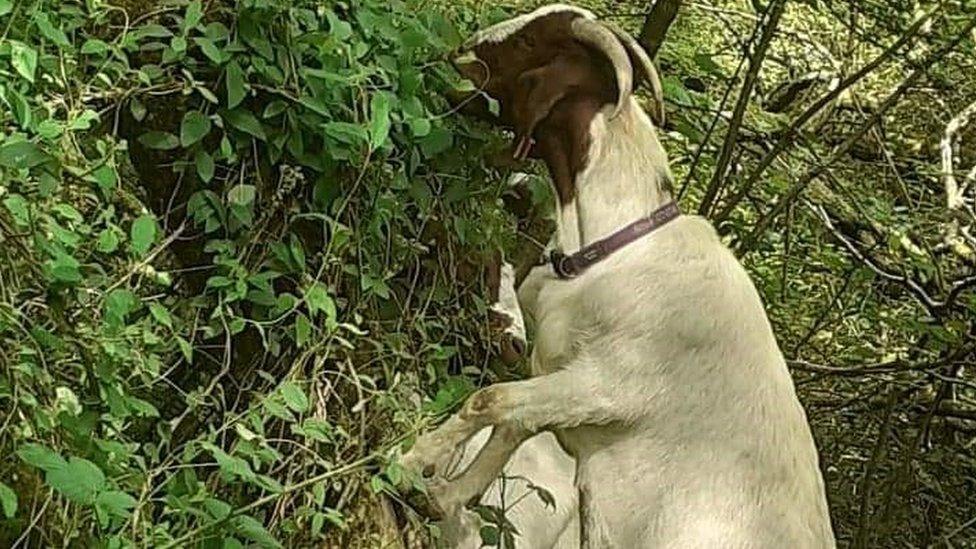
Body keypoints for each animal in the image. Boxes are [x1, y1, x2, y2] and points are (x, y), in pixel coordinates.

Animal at [402, 5, 832, 548]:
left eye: (529, 45)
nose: (454, 54)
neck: (615, 246)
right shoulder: (557, 374)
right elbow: (513, 424)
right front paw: (443, 496)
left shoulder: (603, 383)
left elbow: (490, 400)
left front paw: (408, 464)